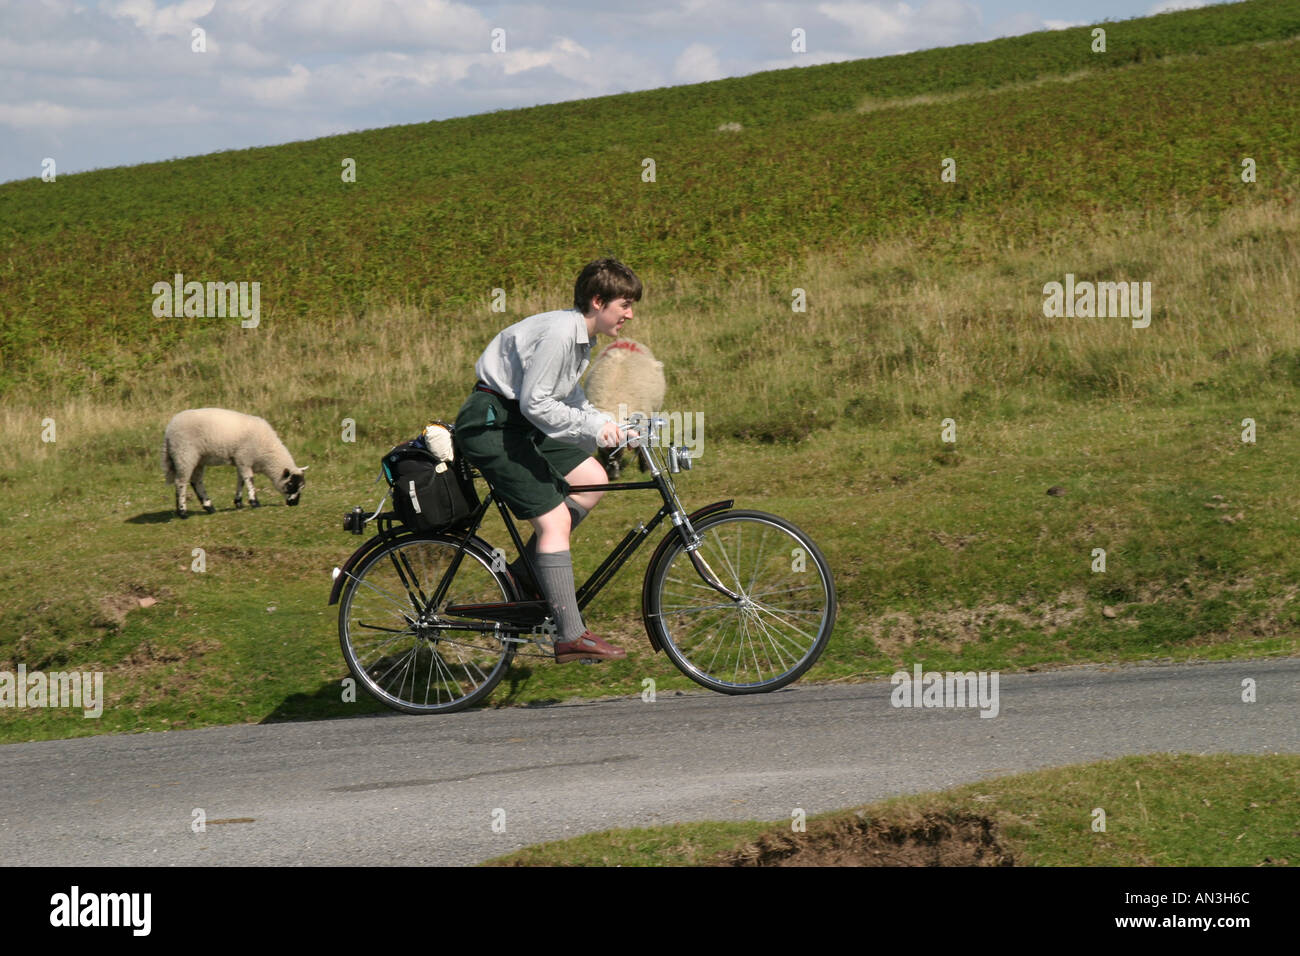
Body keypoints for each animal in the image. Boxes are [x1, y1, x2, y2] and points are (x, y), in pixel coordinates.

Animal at [159, 408, 304, 520]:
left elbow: (241, 480)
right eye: (290, 484)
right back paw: (182, 512)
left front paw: (238, 502)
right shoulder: (244, 458)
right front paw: (254, 502)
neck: (267, 452)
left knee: (196, 481)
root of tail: (169, 431)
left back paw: (209, 506)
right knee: (181, 482)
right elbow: (249, 479)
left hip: (198, 458)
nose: (295, 503)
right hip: (184, 454)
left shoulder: (241, 460)